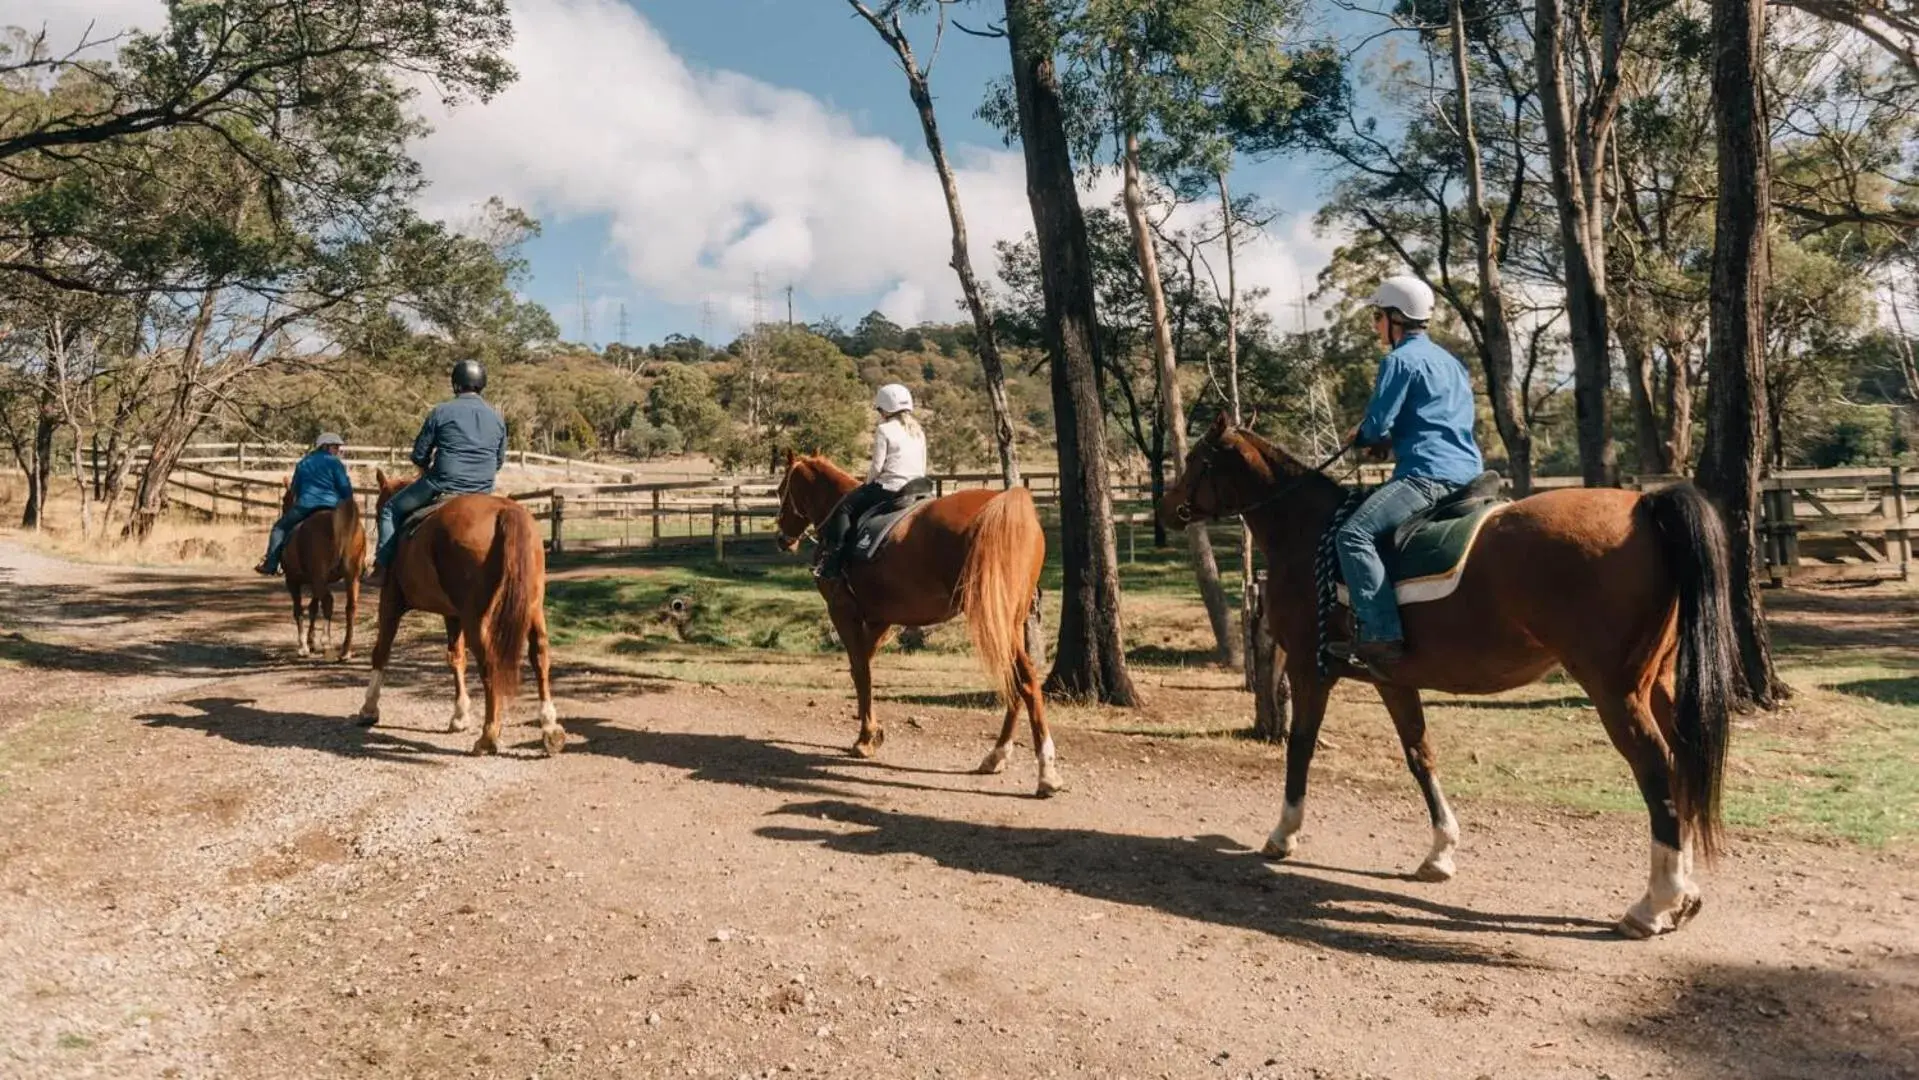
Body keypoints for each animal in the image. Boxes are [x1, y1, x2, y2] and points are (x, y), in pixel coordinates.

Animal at [280, 483, 368, 663]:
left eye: (285, 499)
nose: (284, 511)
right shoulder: (317, 582)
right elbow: (313, 607)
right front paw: (310, 641)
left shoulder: (292, 581)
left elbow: (299, 610)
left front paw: (304, 646)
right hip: (351, 576)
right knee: (350, 606)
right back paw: (345, 650)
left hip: (318, 578)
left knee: (328, 601)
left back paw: (327, 642)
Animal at [356, 469, 560, 755]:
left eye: (377, 512)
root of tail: (505, 511)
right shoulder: (452, 615)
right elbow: (456, 657)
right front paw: (460, 716)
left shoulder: (391, 602)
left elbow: (381, 651)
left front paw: (369, 708)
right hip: (532, 609)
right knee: (539, 655)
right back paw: (550, 728)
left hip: (476, 618)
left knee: (489, 664)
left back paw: (488, 736)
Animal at [771, 452, 1059, 798]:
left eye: (782, 489)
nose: (782, 539)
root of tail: (1003, 506)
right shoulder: (880, 619)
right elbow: (864, 669)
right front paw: (873, 732)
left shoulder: (843, 611)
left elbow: (860, 671)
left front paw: (865, 738)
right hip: (1007, 618)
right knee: (1015, 677)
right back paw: (997, 755)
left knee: (1024, 678)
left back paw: (1046, 772)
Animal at [1159, 418, 1750, 943]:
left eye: (1195, 459)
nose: (1167, 509)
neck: (1309, 534)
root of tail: (1644, 507)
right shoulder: (1392, 678)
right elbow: (1420, 755)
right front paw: (1440, 852)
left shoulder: (1309, 667)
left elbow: (1300, 747)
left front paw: (1283, 834)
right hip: (1660, 684)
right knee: (1683, 765)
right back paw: (1684, 895)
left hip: (1615, 691)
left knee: (1657, 772)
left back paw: (1652, 905)